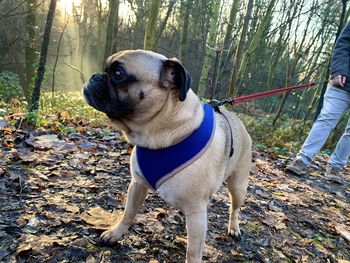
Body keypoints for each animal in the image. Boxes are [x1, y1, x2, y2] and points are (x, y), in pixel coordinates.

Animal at [82, 50, 252, 263]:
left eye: (118, 74)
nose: (95, 76)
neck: (158, 134)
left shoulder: (197, 212)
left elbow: (193, 252)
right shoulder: (137, 185)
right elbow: (128, 213)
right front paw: (116, 233)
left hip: (238, 186)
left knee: (235, 208)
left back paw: (234, 228)